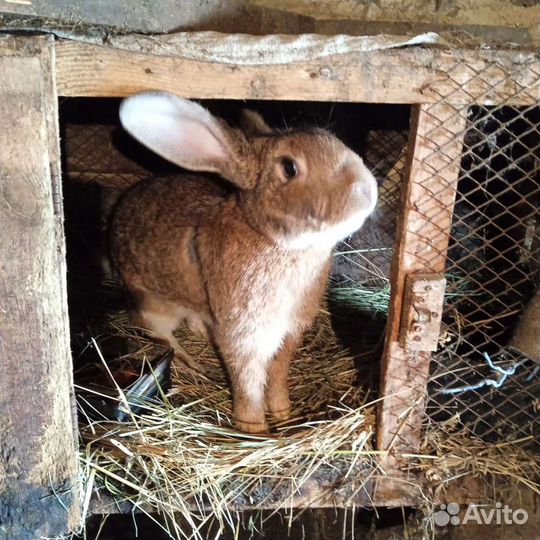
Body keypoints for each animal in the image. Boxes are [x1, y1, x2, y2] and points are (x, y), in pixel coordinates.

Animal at [112, 92, 378, 430]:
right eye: (289, 167)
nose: (367, 189)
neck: (272, 240)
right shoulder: (245, 338)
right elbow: (248, 385)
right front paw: (254, 428)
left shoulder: (289, 332)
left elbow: (277, 375)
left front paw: (284, 413)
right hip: (153, 305)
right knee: (156, 331)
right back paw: (191, 360)